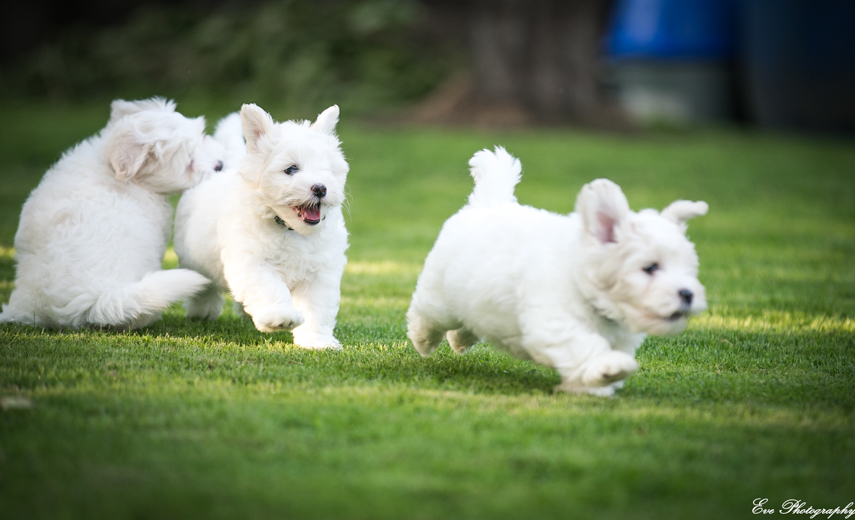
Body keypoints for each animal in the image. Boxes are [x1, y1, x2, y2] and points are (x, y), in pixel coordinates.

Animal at [176, 102, 350, 350]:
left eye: (328, 170)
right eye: (291, 169)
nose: (320, 188)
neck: (290, 229)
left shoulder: (321, 272)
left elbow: (317, 308)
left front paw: (317, 342)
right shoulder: (251, 262)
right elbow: (269, 288)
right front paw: (280, 316)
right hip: (194, 259)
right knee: (204, 288)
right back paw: (202, 312)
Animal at [408, 144, 708, 396]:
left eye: (688, 270)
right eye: (650, 267)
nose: (687, 294)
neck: (582, 281)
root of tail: (488, 203)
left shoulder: (621, 337)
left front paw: (592, 386)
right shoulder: (553, 321)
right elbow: (583, 345)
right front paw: (610, 367)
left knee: (467, 323)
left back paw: (459, 340)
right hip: (439, 297)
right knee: (425, 313)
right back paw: (423, 340)